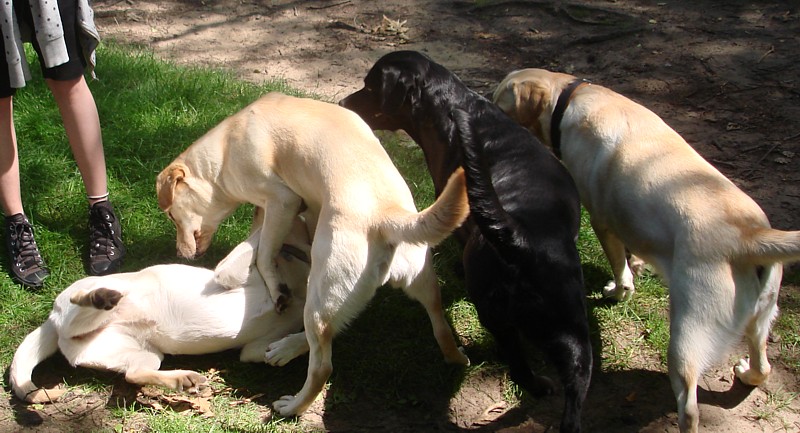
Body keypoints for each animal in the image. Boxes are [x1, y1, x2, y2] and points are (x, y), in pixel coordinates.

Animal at [9, 221, 310, 404]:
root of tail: (51, 321)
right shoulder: (229, 274)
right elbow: (256, 239)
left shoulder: (255, 348)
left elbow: (293, 342)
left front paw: (291, 348)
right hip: (96, 296)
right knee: (85, 302)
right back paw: (99, 296)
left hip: (143, 354)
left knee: (133, 375)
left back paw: (182, 379)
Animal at [156, 93, 468, 416]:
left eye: (171, 215)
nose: (179, 253)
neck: (224, 150)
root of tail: (386, 216)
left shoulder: (282, 201)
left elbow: (264, 254)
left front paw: (276, 288)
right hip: (423, 283)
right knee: (439, 326)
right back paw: (458, 358)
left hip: (319, 302)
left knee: (321, 366)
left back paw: (292, 404)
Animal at [494, 67, 800, 432]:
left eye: (499, 103)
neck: (569, 97)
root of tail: (749, 235)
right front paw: (637, 265)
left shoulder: (601, 221)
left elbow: (620, 270)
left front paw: (618, 291)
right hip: (762, 317)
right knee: (763, 366)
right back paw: (746, 373)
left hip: (686, 339)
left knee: (690, 407)